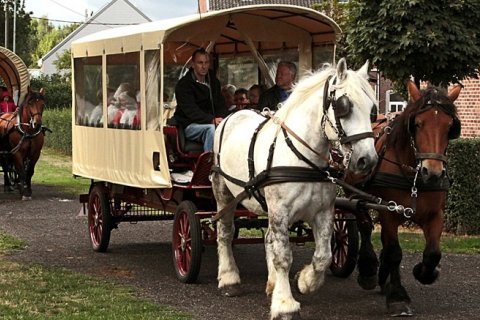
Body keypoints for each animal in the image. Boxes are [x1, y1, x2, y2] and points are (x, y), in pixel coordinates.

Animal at [213, 58, 378, 320]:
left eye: (372, 109)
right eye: (344, 106)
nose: (367, 161)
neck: (303, 158)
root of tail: (232, 115)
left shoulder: (323, 212)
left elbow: (323, 255)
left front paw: (305, 282)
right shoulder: (280, 212)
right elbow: (283, 256)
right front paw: (284, 305)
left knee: (269, 238)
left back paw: (271, 284)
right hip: (224, 192)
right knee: (224, 232)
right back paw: (229, 278)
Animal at [352, 81, 462, 316]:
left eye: (450, 126)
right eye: (418, 124)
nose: (433, 172)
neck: (413, 177)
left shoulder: (435, 214)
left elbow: (433, 253)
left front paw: (425, 273)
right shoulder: (389, 213)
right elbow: (395, 252)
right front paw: (398, 297)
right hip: (354, 193)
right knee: (363, 225)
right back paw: (368, 270)